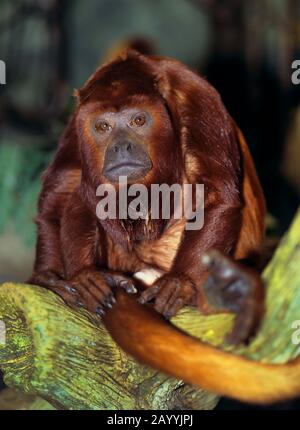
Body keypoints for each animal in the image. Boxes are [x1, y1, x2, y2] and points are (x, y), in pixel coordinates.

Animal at [29, 50, 286, 404]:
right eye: (102, 126)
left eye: (139, 121)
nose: (121, 146)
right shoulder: (76, 123)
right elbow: (63, 187)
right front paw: (52, 277)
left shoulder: (196, 95)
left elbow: (216, 193)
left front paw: (180, 283)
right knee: (86, 194)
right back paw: (94, 280)